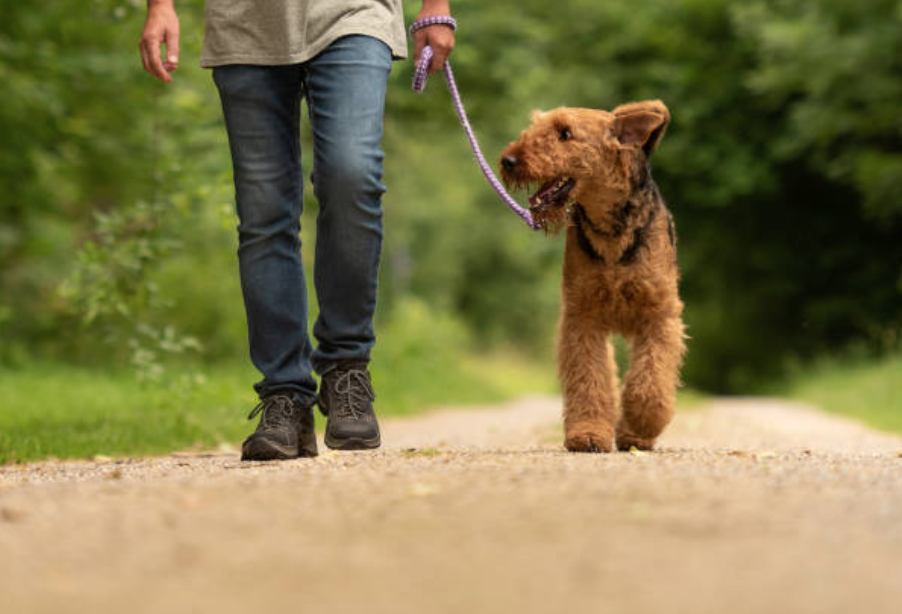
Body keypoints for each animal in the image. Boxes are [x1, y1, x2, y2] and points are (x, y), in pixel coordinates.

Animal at [502, 98, 684, 450]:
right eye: (535, 126)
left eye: (565, 133)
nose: (508, 160)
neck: (610, 232)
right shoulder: (582, 315)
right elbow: (590, 379)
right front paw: (587, 434)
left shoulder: (659, 314)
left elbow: (649, 382)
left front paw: (639, 424)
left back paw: (633, 433)